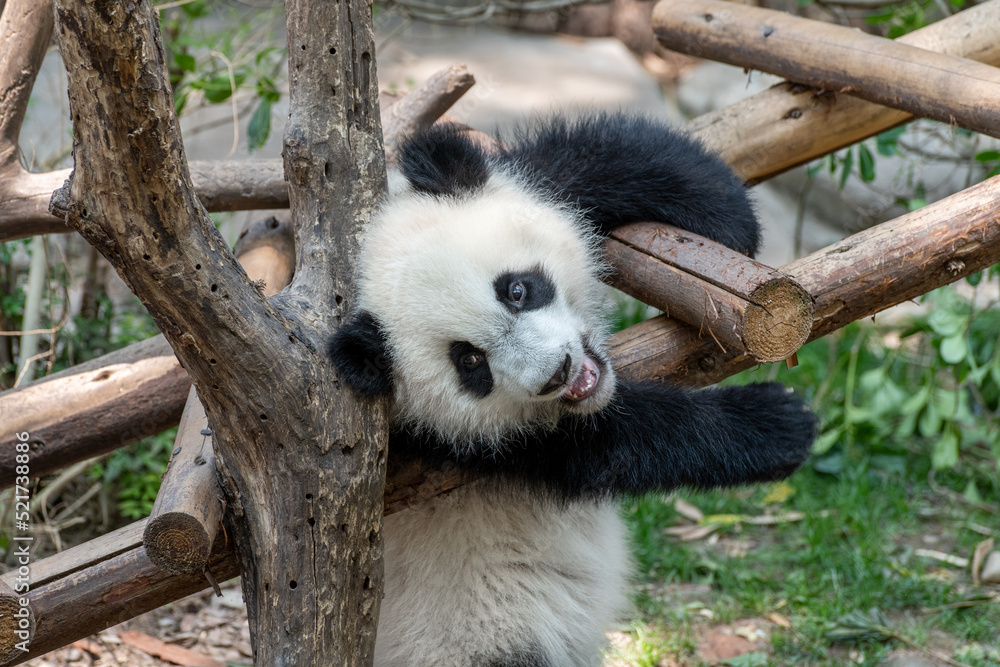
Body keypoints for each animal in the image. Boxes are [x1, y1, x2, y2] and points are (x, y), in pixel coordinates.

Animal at [332, 115, 816, 667]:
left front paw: (730, 229)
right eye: (470, 362)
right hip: (473, 629)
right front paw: (775, 422)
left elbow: (599, 161)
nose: (557, 373)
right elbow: (611, 445)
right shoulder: (452, 448)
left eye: (517, 289)